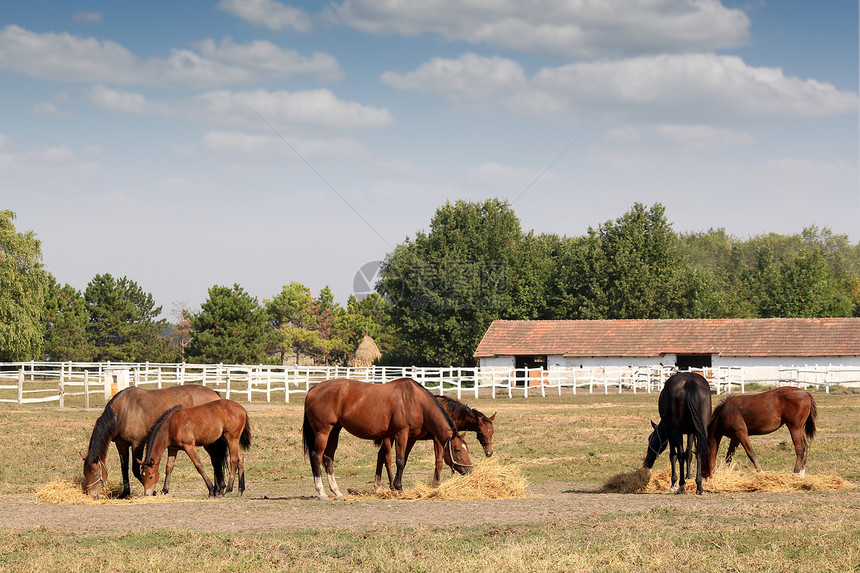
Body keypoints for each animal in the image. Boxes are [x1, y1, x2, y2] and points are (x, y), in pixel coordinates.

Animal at [82, 382, 220, 498]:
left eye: (95, 474)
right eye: (85, 474)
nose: (91, 495)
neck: (123, 411)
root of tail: (214, 394)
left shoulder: (137, 444)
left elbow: (135, 469)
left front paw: (152, 491)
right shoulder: (121, 445)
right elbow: (124, 469)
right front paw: (125, 493)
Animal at [302, 378, 474, 498]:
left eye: (466, 448)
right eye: (457, 449)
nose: (470, 470)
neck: (415, 400)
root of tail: (314, 389)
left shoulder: (410, 437)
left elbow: (401, 460)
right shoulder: (401, 433)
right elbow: (400, 460)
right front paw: (398, 487)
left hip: (334, 431)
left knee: (328, 458)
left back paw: (336, 491)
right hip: (323, 432)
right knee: (316, 456)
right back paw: (321, 492)